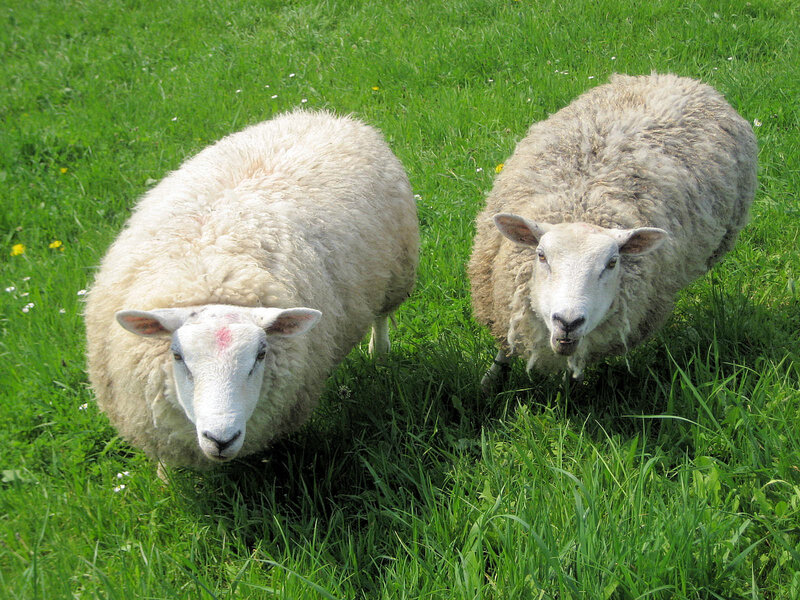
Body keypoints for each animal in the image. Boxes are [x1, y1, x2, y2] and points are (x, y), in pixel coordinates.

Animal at [84, 109, 419, 470]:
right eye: (177, 356)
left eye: (260, 355)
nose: (221, 438)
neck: (211, 270)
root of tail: (328, 116)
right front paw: (165, 478)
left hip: (397, 271)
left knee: (381, 317)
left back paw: (379, 351)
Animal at [468, 73, 757, 387]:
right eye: (541, 256)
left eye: (612, 263)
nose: (568, 322)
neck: (580, 203)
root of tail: (678, 78)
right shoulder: (499, 300)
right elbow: (504, 345)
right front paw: (490, 380)